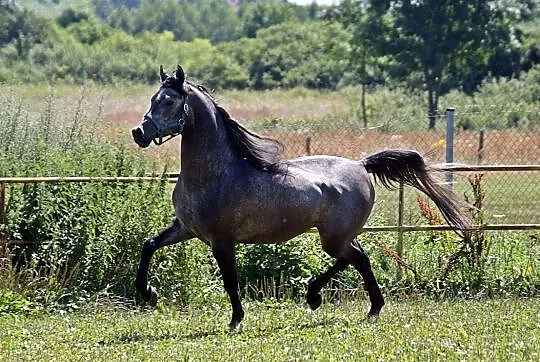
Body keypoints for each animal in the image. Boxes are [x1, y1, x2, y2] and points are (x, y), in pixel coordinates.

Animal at [131, 66, 468, 330]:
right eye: (152, 99)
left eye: (169, 100)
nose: (139, 132)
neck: (215, 174)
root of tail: (360, 165)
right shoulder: (185, 229)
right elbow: (148, 245)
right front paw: (148, 293)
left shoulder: (221, 240)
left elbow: (230, 280)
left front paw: (236, 320)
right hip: (339, 235)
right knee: (360, 257)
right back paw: (369, 307)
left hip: (332, 237)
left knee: (353, 257)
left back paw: (316, 296)